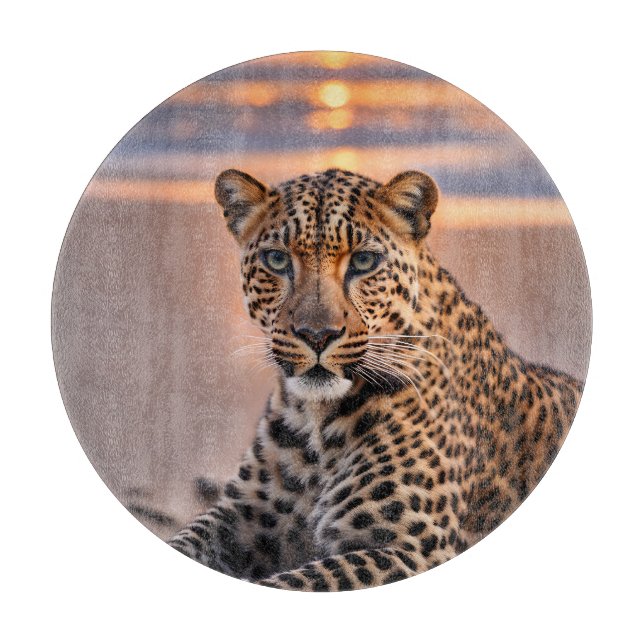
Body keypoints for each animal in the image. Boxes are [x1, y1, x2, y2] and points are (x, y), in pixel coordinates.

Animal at [167, 167, 583, 591]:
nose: (317, 335)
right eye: (277, 259)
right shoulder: (238, 514)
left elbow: (297, 582)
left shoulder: (410, 548)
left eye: (365, 261)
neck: (316, 423)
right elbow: (186, 539)